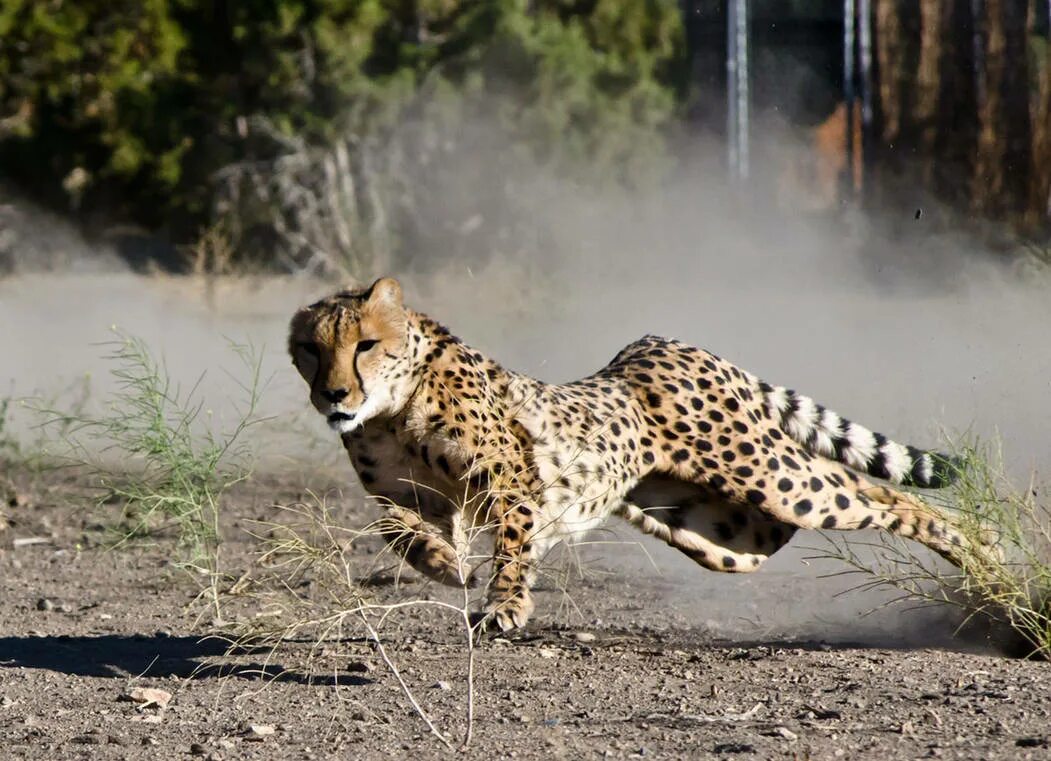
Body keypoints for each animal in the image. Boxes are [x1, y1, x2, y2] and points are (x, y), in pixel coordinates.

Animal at [290, 277, 983, 630]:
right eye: (310, 350)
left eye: (364, 344)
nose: (333, 395)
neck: (392, 410)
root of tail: (659, 343)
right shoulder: (415, 497)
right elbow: (395, 528)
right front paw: (440, 562)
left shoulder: (512, 481)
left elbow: (512, 546)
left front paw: (506, 604)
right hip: (732, 535)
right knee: (837, 500)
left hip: (770, 477)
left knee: (881, 493)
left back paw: (983, 552)